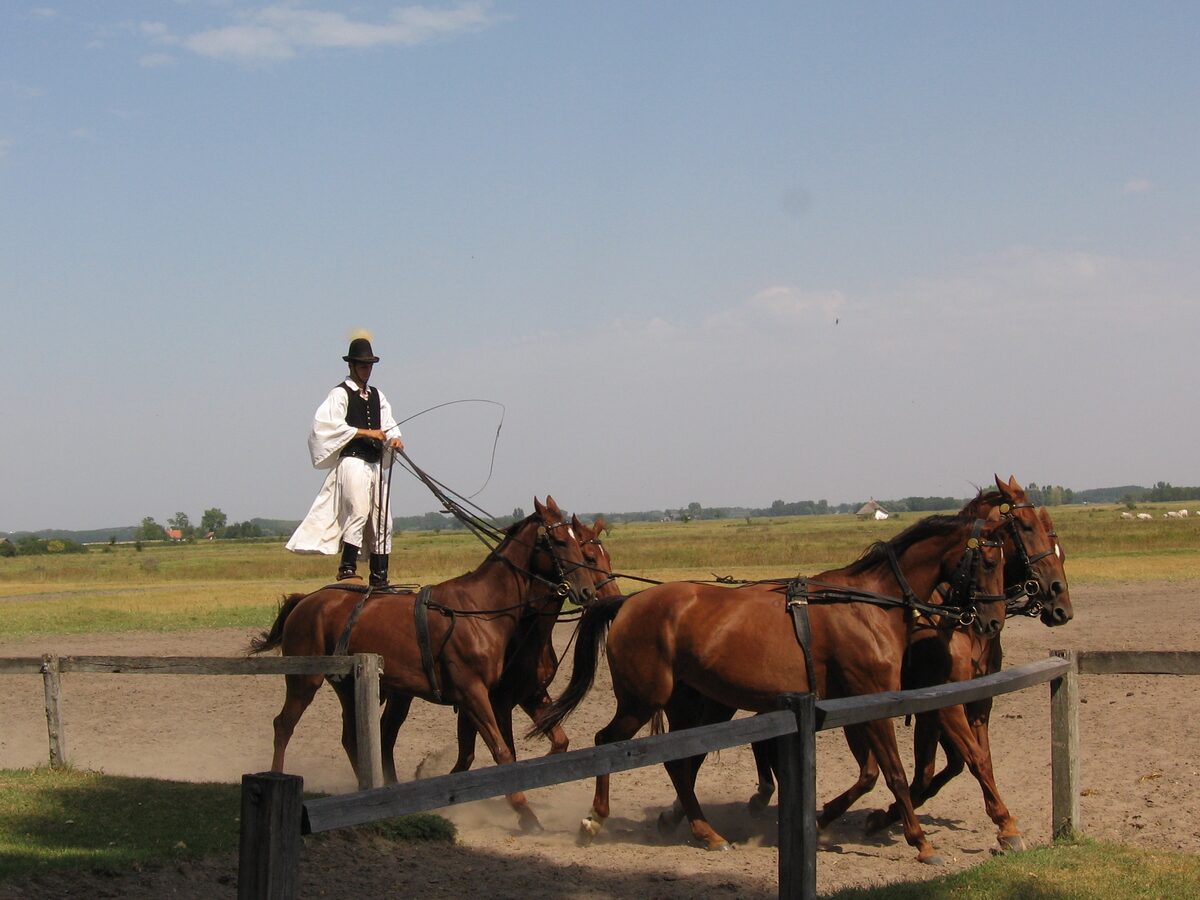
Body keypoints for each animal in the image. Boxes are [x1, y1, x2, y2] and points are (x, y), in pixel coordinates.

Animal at [250, 496, 596, 832]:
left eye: (580, 543)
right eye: (560, 541)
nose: (587, 590)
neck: (481, 609)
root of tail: (306, 600)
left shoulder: (486, 698)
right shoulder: (474, 694)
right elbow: (501, 751)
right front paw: (525, 812)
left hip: (350, 686)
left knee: (352, 737)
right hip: (304, 680)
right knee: (284, 725)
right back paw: (277, 776)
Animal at [534, 507, 1010, 863]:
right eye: (989, 561)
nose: (991, 621)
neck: (867, 605)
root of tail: (628, 602)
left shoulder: (858, 706)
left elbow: (877, 773)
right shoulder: (872, 701)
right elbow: (893, 772)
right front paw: (921, 842)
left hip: (686, 704)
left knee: (679, 764)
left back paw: (706, 832)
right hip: (642, 700)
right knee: (607, 742)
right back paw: (596, 819)